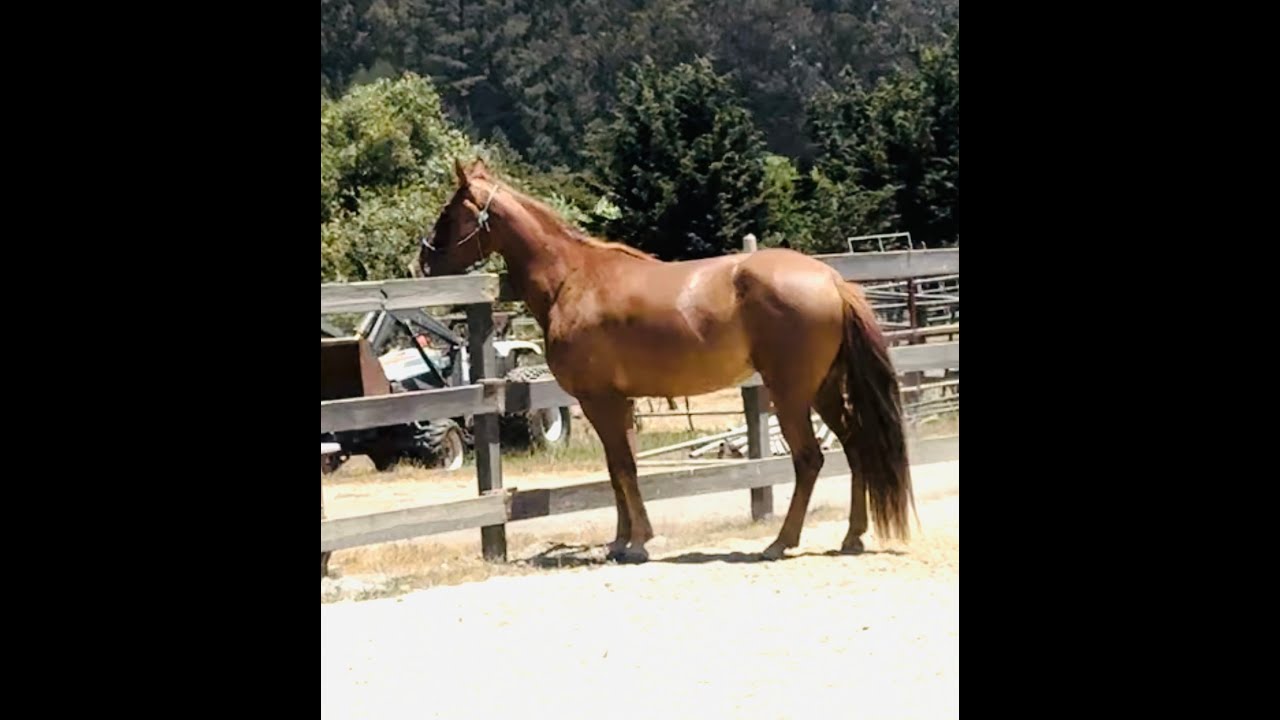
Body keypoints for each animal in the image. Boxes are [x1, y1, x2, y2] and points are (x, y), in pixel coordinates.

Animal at [416, 159, 914, 563]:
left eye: (449, 211)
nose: (423, 261)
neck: (572, 279)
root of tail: (832, 280)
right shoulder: (619, 402)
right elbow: (618, 468)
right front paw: (622, 541)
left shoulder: (600, 400)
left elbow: (623, 467)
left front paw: (636, 543)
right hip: (824, 389)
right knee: (855, 445)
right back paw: (852, 537)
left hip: (791, 394)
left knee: (810, 459)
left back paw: (779, 543)